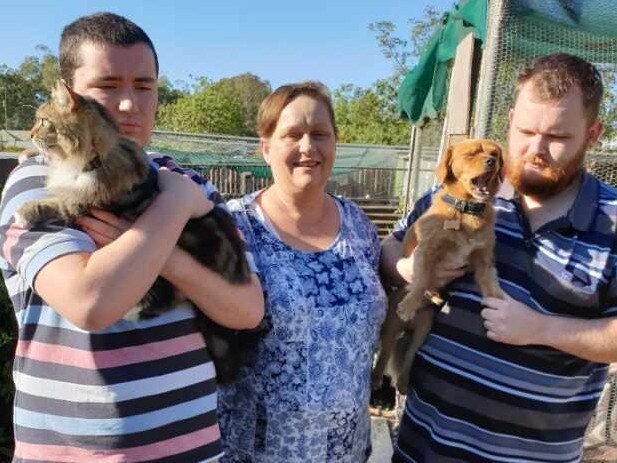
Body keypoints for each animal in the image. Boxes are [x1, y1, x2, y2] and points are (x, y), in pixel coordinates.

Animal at [15, 81, 258, 386]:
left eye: (43, 121)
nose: (30, 135)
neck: (93, 159)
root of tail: (238, 271)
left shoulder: (82, 206)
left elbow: (52, 202)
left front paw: (24, 211)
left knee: (165, 299)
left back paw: (132, 312)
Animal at [372, 139, 502, 396]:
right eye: (471, 153)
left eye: (495, 153)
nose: (491, 161)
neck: (467, 209)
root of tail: (409, 327)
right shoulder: (426, 251)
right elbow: (421, 279)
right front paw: (409, 304)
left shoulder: (483, 260)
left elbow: (490, 283)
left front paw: (499, 301)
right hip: (390, 330)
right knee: (383, 357)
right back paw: (374, 380)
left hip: (423, 329)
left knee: (409, 357)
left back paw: (403, 382)